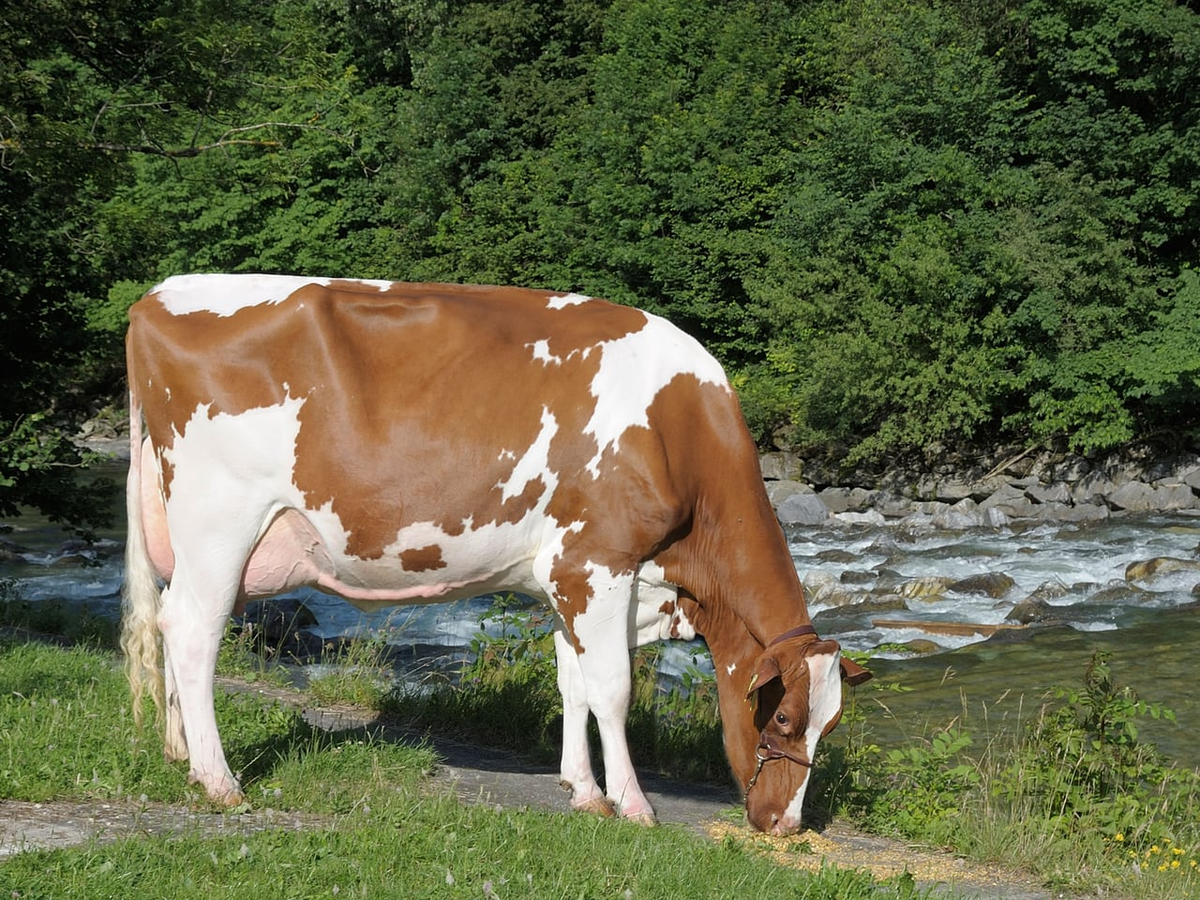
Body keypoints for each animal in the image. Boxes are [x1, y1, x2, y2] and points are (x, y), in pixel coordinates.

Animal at [121, 274, 868, 840]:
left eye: (831, 724)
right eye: (782, 718)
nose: (785, 824)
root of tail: (156, 296)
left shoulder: (567, 578)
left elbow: (574, 684)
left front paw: (582, 790)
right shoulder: (597, 563)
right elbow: (613, 689)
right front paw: (632, 804)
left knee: (168, 621)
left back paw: (180, 753)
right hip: (220, 524)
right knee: (193, 632)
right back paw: (219, 780)